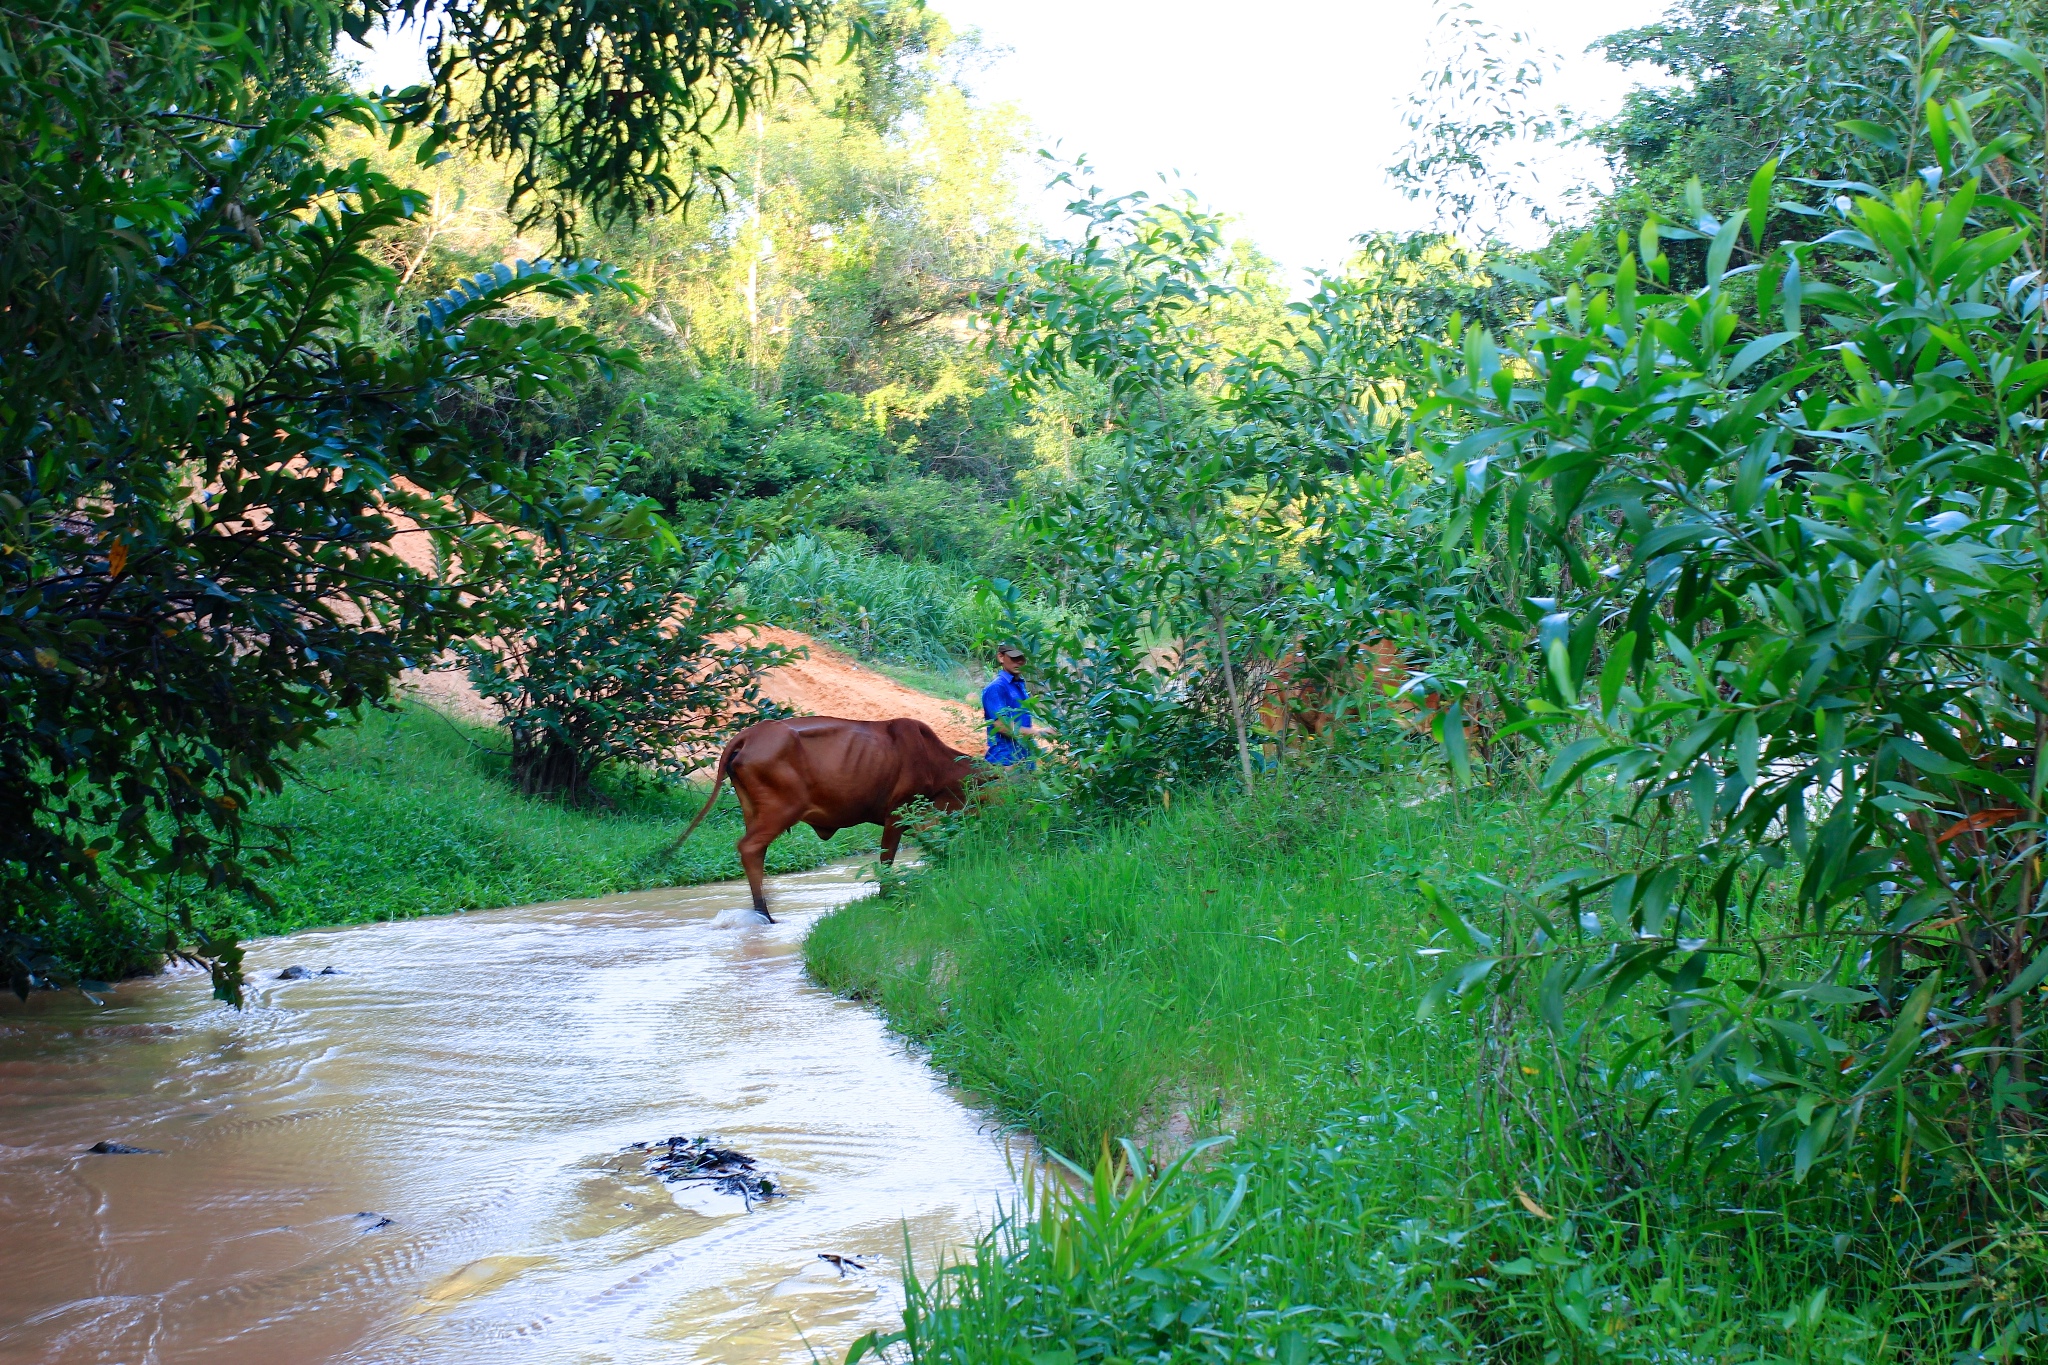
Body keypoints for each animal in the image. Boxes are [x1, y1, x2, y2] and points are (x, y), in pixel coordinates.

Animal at [659, 716, 970, 916]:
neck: (937, 763)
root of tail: (750, 734)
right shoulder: (898, 812)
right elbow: (886, 859)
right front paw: (886, 896)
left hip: (753, 810)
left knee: (756, 853)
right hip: (781, 809)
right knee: (749, 848)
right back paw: (764, 914)